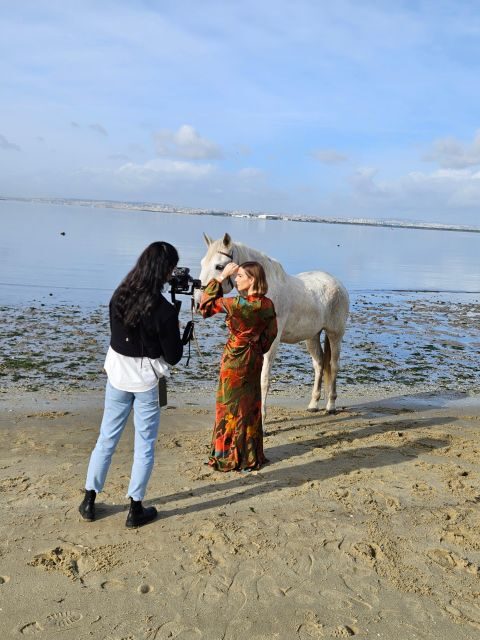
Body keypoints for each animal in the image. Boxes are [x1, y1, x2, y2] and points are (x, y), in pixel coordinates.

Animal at [194, 232, 350, 419]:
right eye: (202, 263)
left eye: (219, 266)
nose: (198, 303)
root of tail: (337, 283)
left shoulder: (271, 344)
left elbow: (264, 380)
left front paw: (262, 419)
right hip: (312, 336)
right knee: (319, 364)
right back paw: (313, 404)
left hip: (335, 334)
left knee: (333, 365)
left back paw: (331, 405)